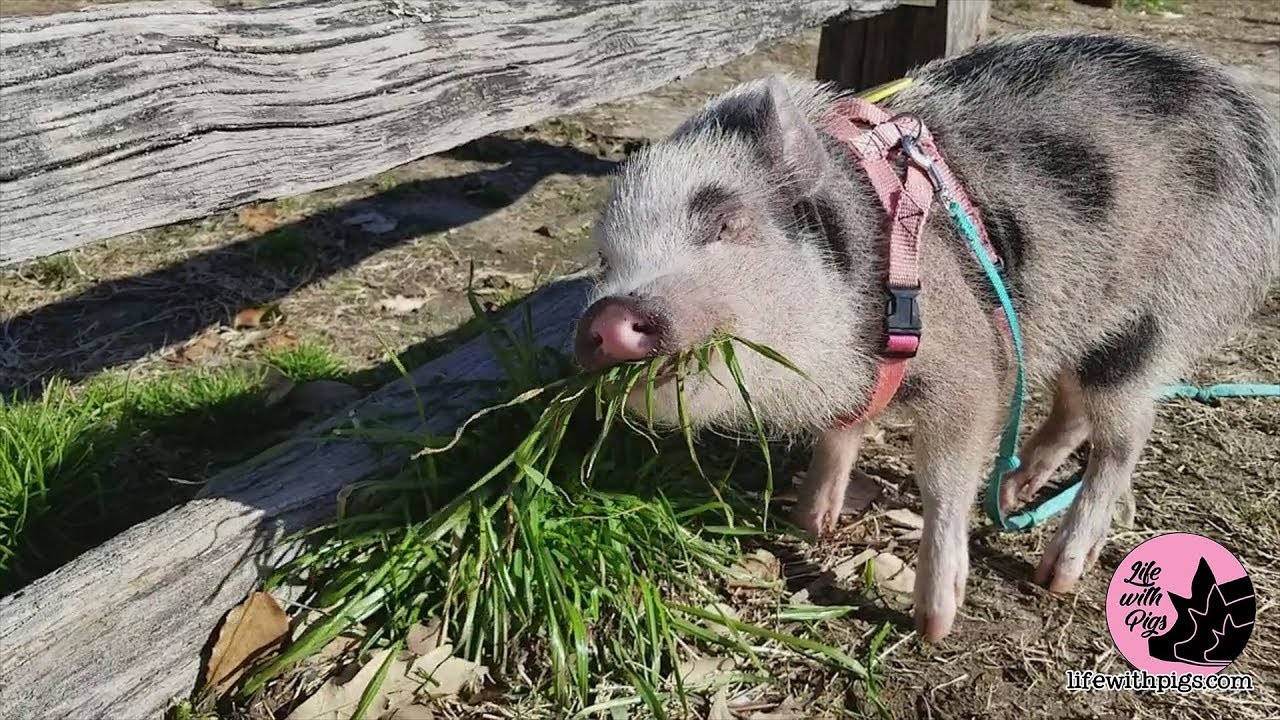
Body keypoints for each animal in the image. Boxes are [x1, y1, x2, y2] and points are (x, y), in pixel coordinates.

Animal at [572, 31, 1280, 642]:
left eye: (722, 221)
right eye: (604, 259)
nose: (606, 316)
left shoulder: (971, 372)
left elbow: (944, 482)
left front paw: (932, 624)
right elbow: (842, 432)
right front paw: (812, 523)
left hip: (1155, 320)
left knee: (1125, 438)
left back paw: (1055, 576)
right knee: (1073, 408)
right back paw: (1015, 491)